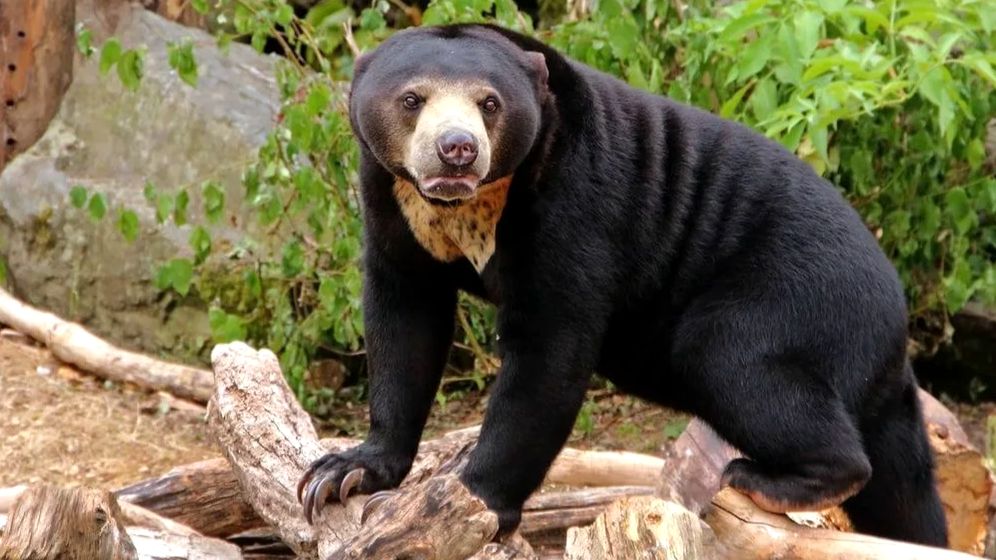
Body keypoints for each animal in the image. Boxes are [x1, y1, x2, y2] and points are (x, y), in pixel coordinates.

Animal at [296, 22, 949, 547]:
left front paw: (475, 502)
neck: (466, 211)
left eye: (489, 103)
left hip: (795, 298)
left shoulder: (576, 204)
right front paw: (343, 474)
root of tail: (894, 322)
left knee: (737, 358)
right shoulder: (390, 205)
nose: (457, 151)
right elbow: (404, 324)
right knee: (903, 491)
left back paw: (768, 479)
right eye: (412, 100)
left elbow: (550, 353)